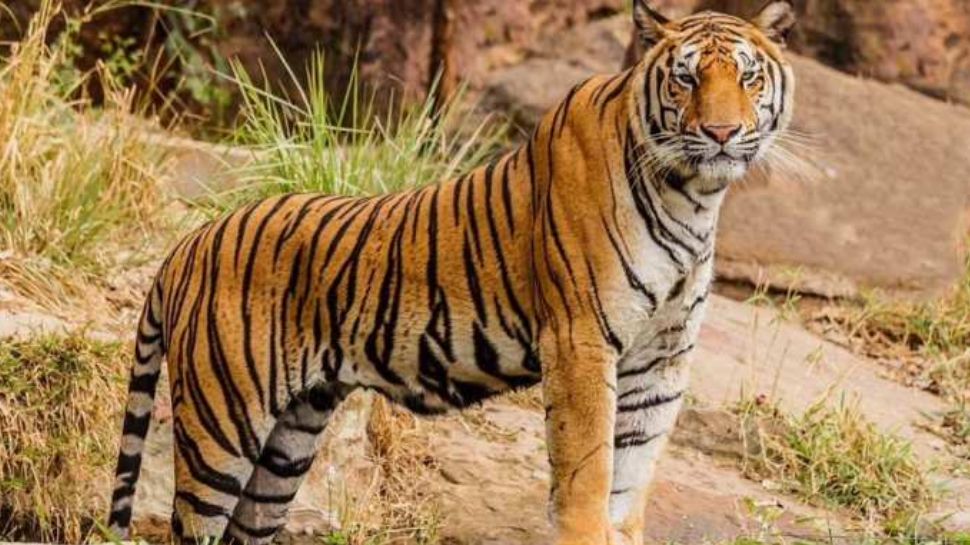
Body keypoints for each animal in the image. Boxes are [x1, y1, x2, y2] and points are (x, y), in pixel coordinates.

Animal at [107, 1, 796, 544]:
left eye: (748, 76)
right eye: (685, 79)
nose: (721, 132)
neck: (694, 197)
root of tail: (188, 243)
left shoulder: (662, 359)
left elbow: (630, 479)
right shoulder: (580, 340)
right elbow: (588, 472)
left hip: (289, 440)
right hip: (222, 425)